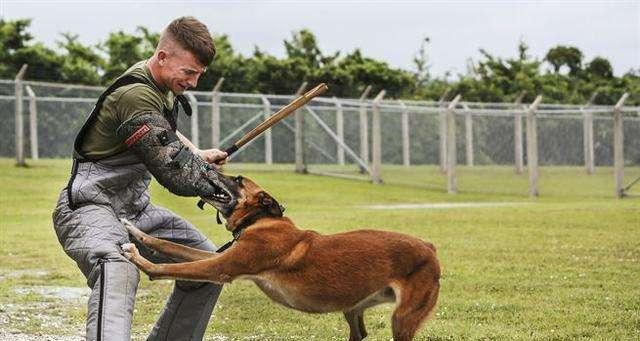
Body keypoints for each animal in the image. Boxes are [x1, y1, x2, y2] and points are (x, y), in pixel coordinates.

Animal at [120, 174, 440, 338]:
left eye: (237, 179)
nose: (207, 167)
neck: (260, 219)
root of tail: (429, 247)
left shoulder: (221, 267)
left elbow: (164, 268)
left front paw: (137, 258)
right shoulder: (220, 258)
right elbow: (170, 246)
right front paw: (134, 230)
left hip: (402, 319)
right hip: (353, 309)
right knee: (359, 333)